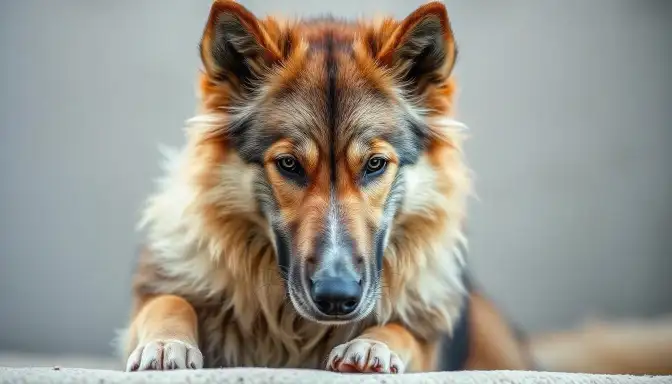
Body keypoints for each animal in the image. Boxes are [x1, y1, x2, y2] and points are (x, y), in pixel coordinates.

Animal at [121, 0, 672, 374]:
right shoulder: (161, 292)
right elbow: (168, 302)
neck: (297, 331)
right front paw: (166, 344)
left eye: (374, 165)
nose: (337, 299)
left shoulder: (426, 344)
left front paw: (374, 344)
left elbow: (403, 332)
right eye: (289, 165)